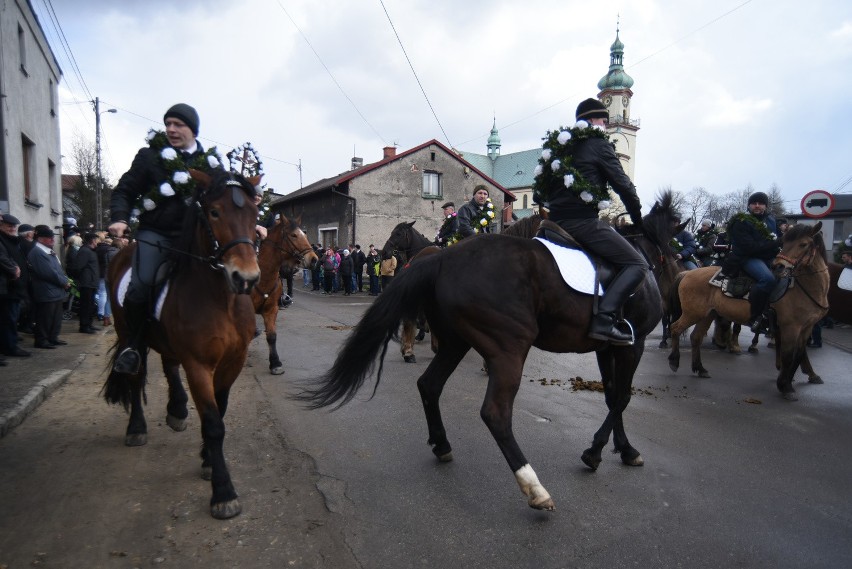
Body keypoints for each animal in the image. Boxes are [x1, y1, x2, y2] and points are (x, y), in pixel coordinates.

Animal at [102, 166, 260, 516]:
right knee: (135, 375)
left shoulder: (233, 361)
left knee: (168, 364)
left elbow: (220, 411)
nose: (246, 279)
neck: (221, 299)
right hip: (125, 331)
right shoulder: (198, 365)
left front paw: (207, 461)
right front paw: (223, 492)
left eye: (255, 213)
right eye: (214, 212)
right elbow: (214, 423)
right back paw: (137, 429)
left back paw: (176, 409)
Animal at [255, 212, 322, 372]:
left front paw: (275, 363)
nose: (314, 259)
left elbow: (272, 336)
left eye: (304, 234)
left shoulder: (271, 309)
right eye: (293, 235)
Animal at [296, 205, 676, 510]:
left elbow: (613, 396)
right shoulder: (632, 344)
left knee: (429, 384)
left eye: (399, 232)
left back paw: (441, 442)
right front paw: (599, 451)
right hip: (509, 350)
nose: (674, 280)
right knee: (495, 413)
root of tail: (442, 259)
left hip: (456, 342)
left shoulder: (608, 347)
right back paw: (534, 487)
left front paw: (621, 449)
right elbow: (622, 397)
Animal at [668, 222, 828, 400]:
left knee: (696, 337)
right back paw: (674, 361)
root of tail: (687, 273)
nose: (778, 266)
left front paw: (791, 380)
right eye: (785, 243)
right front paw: (785, 386)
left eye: (803, 244)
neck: (804, 289)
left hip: (707, 315)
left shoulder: (806, 327)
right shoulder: (790, 327)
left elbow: (799, 355)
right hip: (692, 313)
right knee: (675, 328)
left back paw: (700, 368)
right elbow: (788, 356)